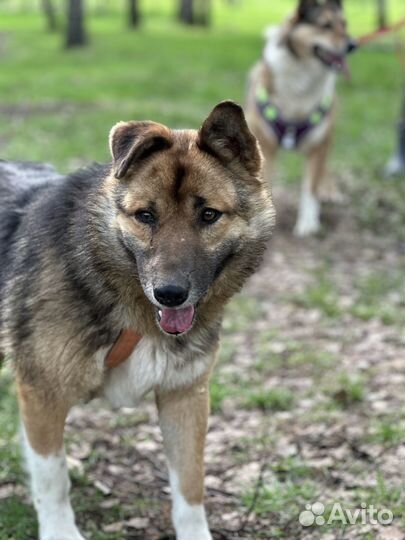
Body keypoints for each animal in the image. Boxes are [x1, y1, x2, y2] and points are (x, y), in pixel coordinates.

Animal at [0, 101, 274, 540]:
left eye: (209, 215)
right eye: (145, 216)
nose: (170, 294)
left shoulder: (186, 395)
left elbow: (190, 484)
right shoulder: (42, 391)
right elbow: (52, 478)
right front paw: (60, 530)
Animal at [243, 0, 354, 236]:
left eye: (344, 24)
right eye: (325, 25)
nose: (352, 44)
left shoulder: (318, 144)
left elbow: (310, 189)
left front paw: (308, 224)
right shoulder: (265, 144)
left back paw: (328, 189)